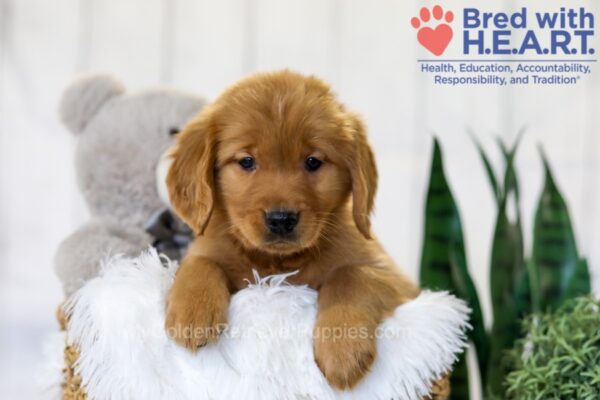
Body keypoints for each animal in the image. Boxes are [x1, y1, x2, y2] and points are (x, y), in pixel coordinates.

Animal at [164, 70, 418, 390]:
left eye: (313, 161)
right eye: (246, 161)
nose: (281, 219)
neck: (278, 262)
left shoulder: (393, 276)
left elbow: (350, 275)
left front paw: (343, 347)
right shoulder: (209, 245)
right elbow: (200, 263)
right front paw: (193, 313)